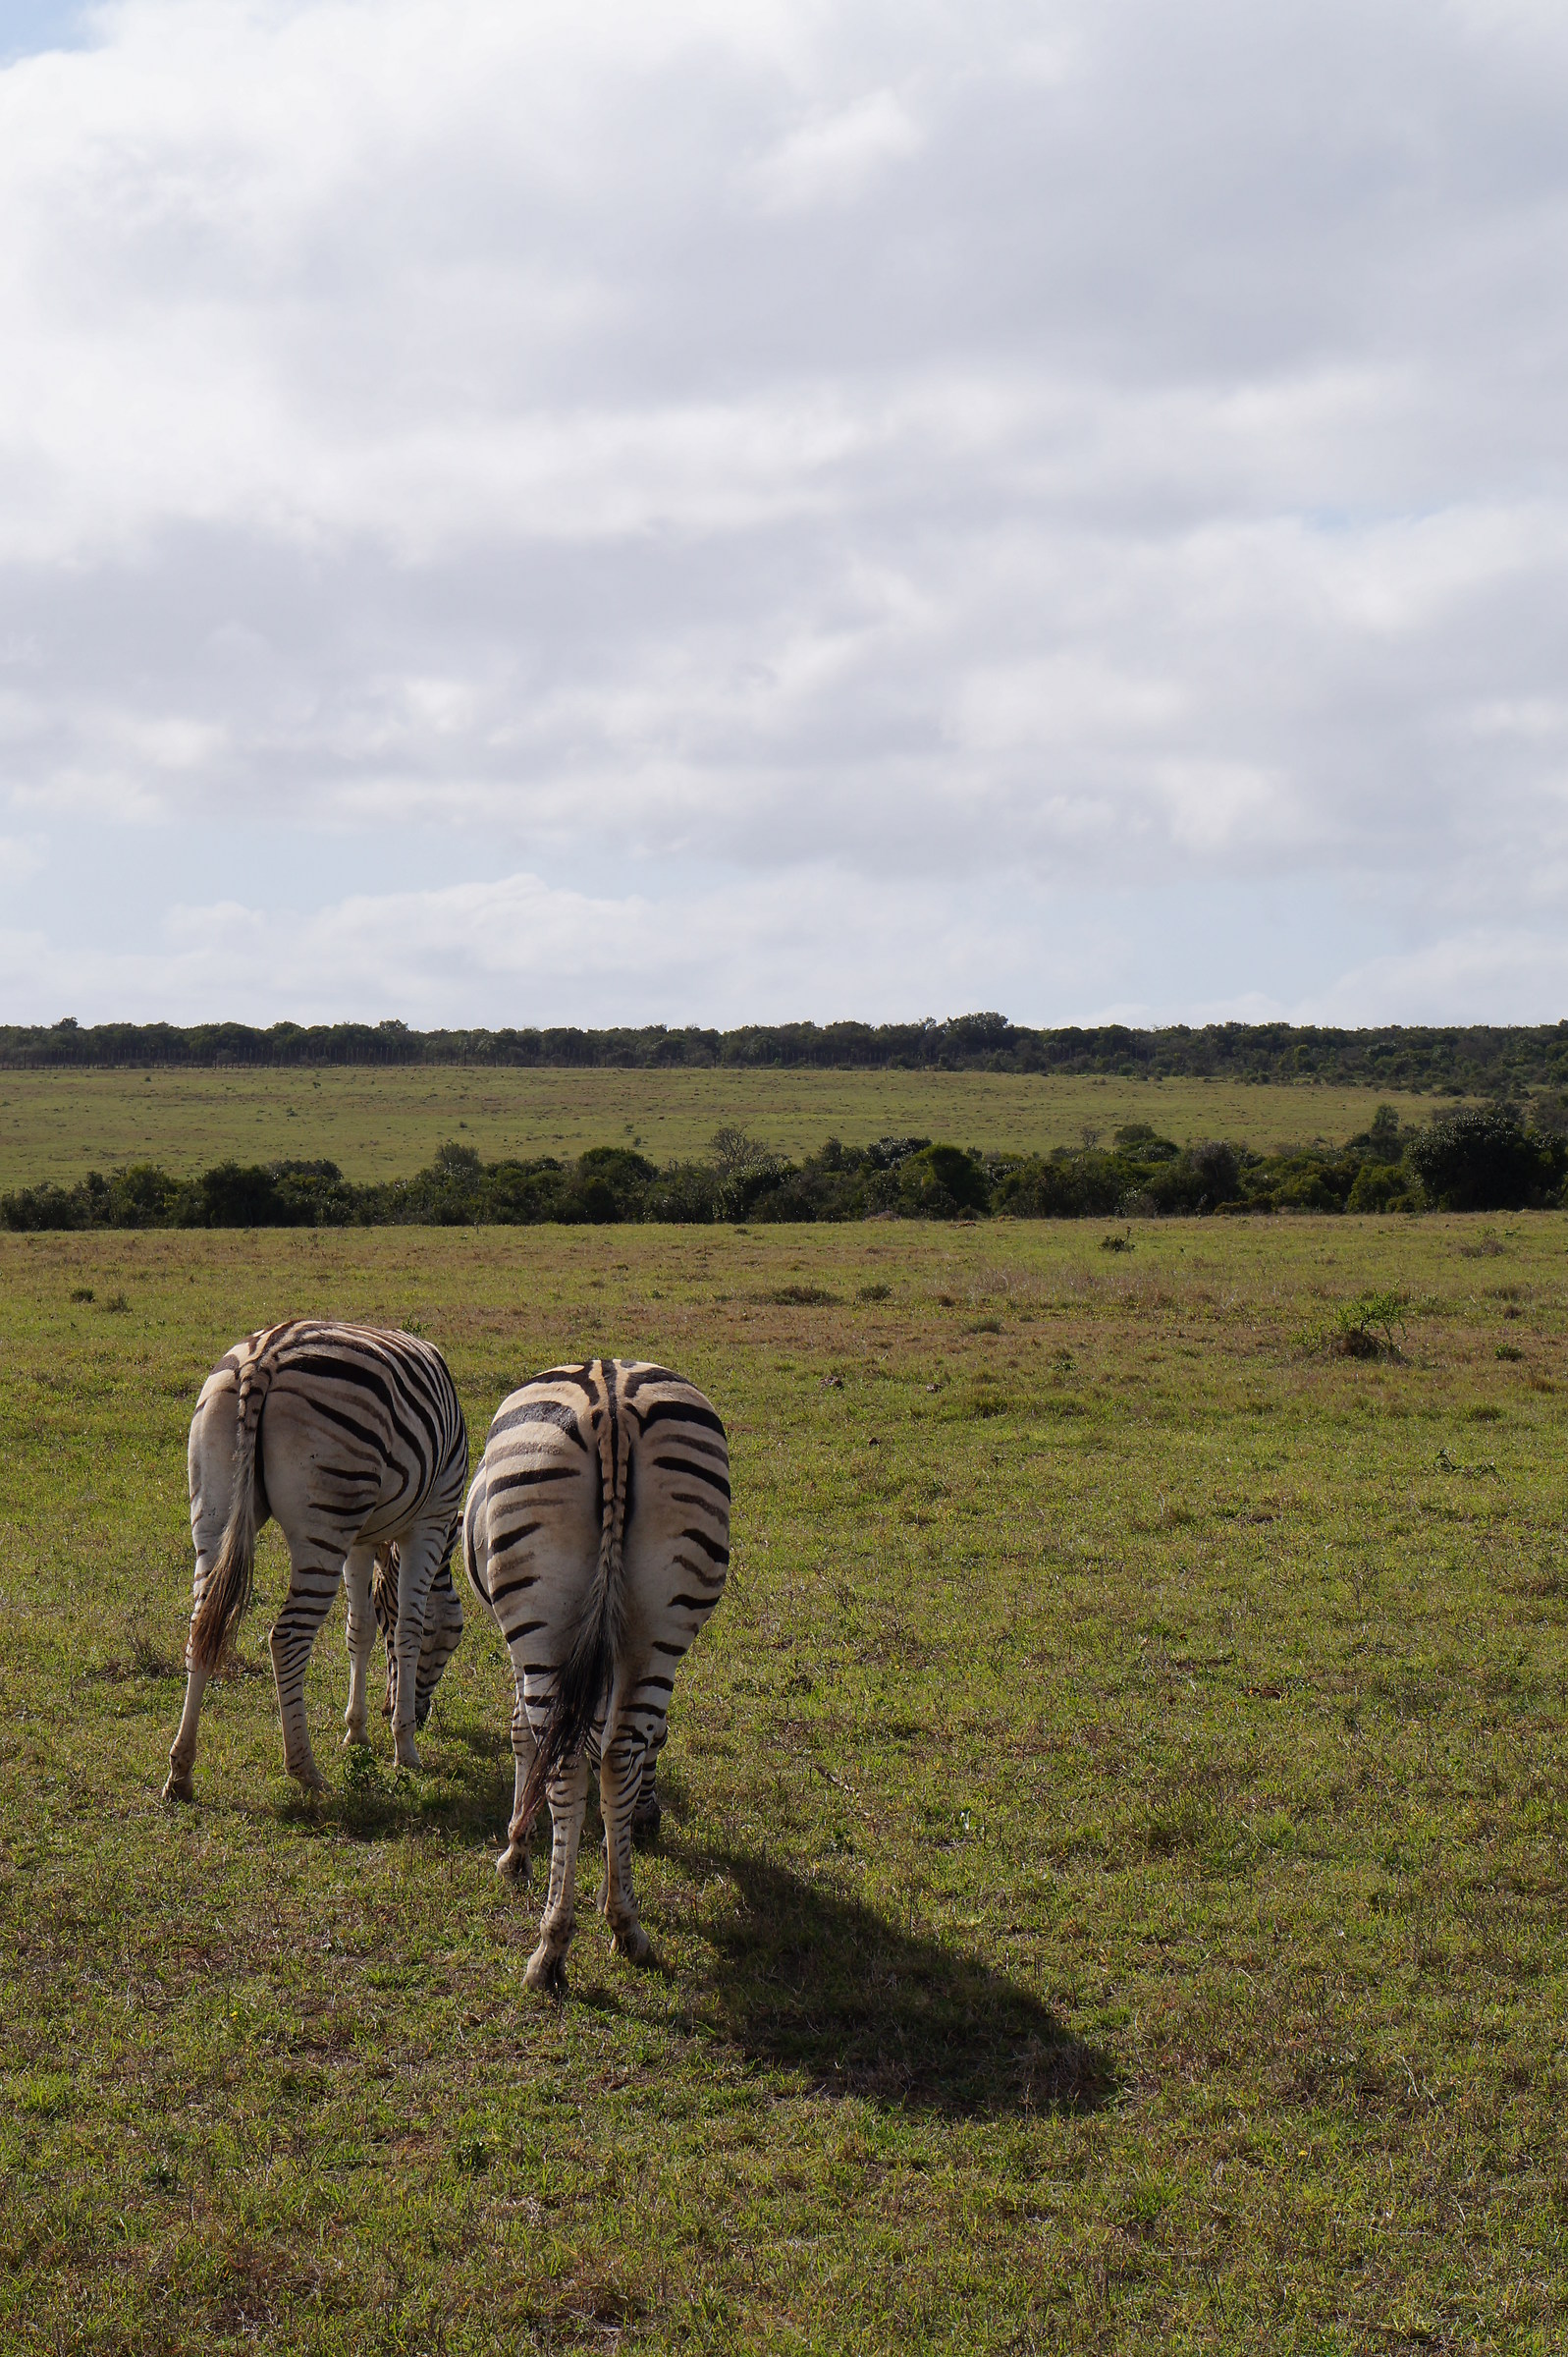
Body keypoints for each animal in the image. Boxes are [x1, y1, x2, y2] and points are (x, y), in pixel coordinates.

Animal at [163, 1320, 469, 1803]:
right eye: (452, 1639)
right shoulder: (431, 1520)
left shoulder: (360, 1540)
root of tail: (265, 1356)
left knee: (202, 1627)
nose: (417, 1717)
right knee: (287, 1637)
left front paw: (357, 1732)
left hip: (213, 1510)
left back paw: (181, 1771)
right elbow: (408, 1630)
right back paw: (305, 1769)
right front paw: (405, 1749)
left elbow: (359, 1630)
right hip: (326, 1522)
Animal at [462, 1357, 729, 1991]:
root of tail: (611, 1397)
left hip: (539, 1623)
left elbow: (523, 1737)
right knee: (622, 1751)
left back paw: (551, 1947)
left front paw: (517, 1846)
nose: (653, 1824)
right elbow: (618, 1741)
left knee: (565, 1762)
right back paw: (626, 1925)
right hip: (662, 1621)